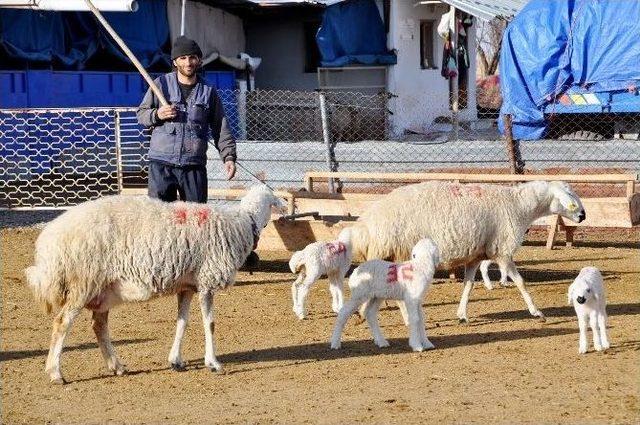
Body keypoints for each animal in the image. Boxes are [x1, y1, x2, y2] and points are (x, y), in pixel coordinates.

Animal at [26, 184, 282, 382]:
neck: (242, 223)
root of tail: (49, 242)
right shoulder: (206, 281)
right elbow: (209, 324)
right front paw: (213, 363)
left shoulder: (187, 286)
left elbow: (182, 322)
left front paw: (176, 361)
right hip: (83, 281)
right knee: (62, 323)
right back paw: (56, 373)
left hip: (102, 288)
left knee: (99, 325)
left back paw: (117, 366)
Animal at [350, 179, 584, 322]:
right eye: (569, 196)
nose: (583, 215)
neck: (519, 206)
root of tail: (366, 226)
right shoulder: (502, 250)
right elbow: (520, 282)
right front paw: (536, 311)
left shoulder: (475, 256)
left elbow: (468, 285)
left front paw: (462, 314)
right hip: (399, 252)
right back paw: (406, 317)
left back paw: (363, 312)